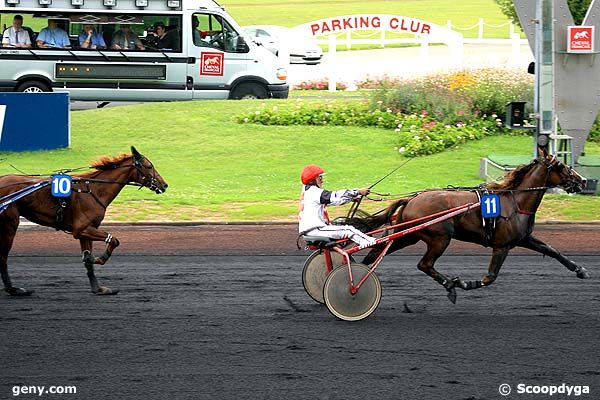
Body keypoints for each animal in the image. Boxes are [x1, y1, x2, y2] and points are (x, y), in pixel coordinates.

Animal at [0, 145, 168, 296]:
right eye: (149, 166)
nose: (164, 185)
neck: (94, 190)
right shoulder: (81, 229)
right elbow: (113, 240)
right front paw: (99, 259)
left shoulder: (87, 230)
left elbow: (87, 259)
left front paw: (98, 288)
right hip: (10, 224)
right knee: (3, 257)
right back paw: (13, 289)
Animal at [358, 150, 588, 304]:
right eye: (561, 165)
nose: (583, 180)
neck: (516, 202)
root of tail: (412, 199)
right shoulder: (502, 245)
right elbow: (490, 277)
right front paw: (464, 283)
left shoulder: (524, 238)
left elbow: (552, 250)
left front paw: (580, 270)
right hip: (440, 237)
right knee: (424, 264)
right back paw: (450, 286)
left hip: (408, 236)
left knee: (377, 252)